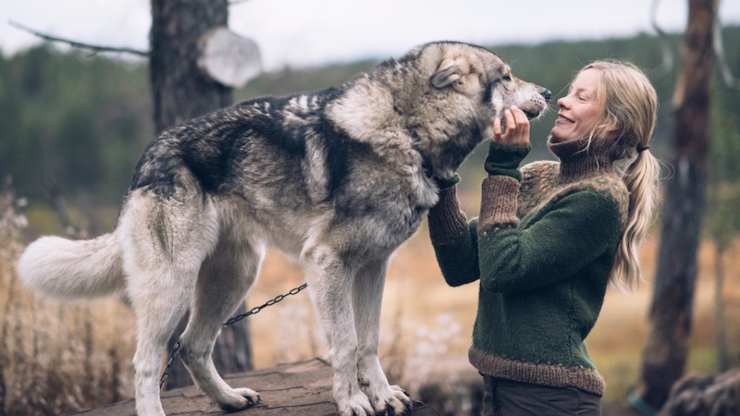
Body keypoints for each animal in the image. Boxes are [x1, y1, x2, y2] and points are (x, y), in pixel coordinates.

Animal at [15, 40, 548, 414]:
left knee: (192, 346)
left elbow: (369, 342)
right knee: (148, 362)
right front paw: (353, 402)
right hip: (173, 286)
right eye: (505, 76)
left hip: (235, 277)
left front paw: (384, 397)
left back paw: (231, 400)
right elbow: (344, 344)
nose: (545, 92)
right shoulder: (327, 264)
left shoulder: (373, 268)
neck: (407, 130)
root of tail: (146, 159)